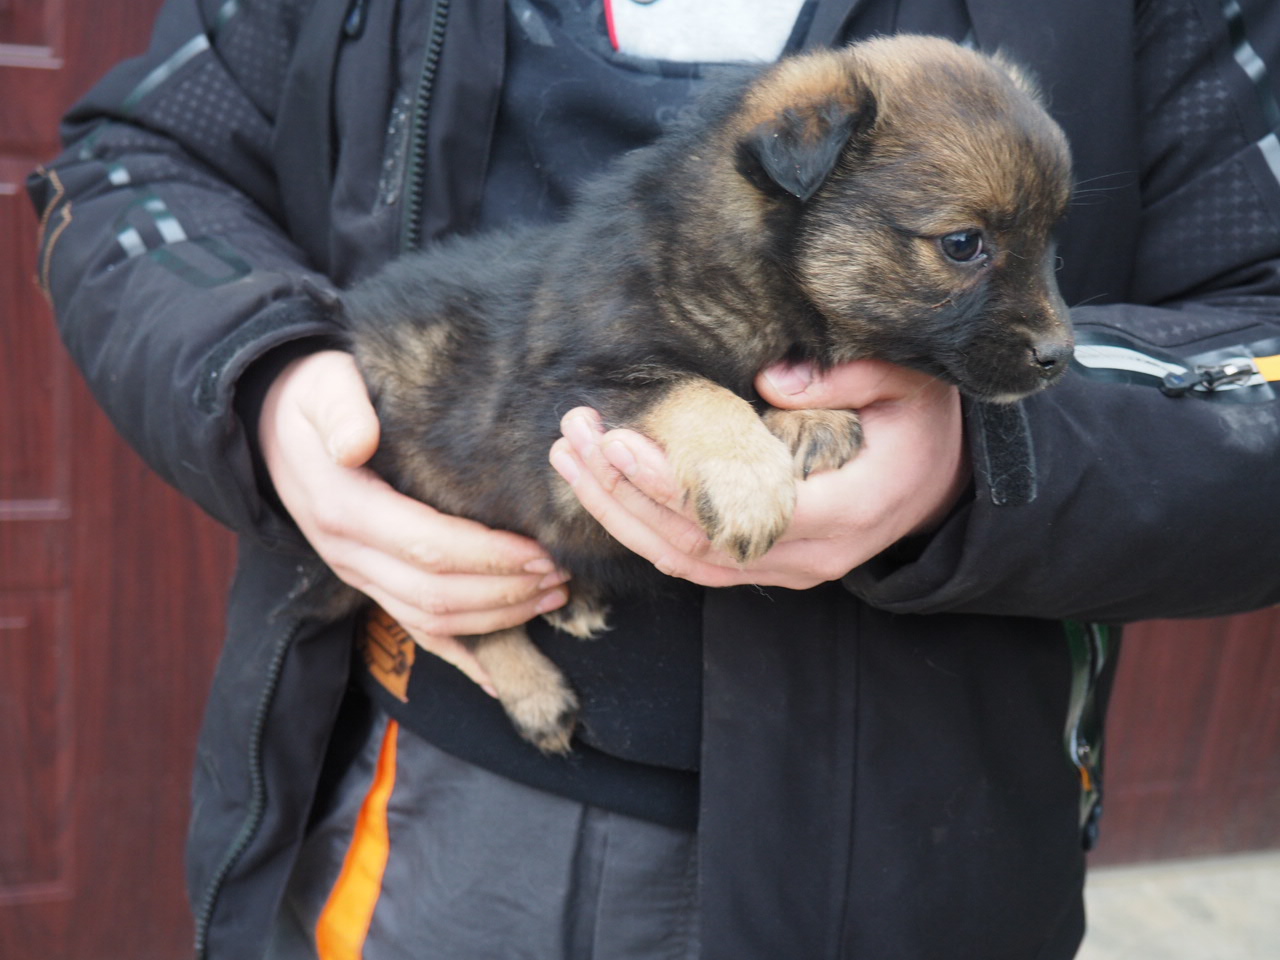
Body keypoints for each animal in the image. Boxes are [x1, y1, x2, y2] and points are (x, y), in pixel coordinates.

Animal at [335, 33, 1075, 757]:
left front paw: (806, 417)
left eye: (1051, 242)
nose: (1060, 358)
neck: (751, 271)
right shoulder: (562, 403)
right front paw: (748, 481)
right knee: (471, 622)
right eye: (963, 244)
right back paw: (533, 690)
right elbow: (695, 392)